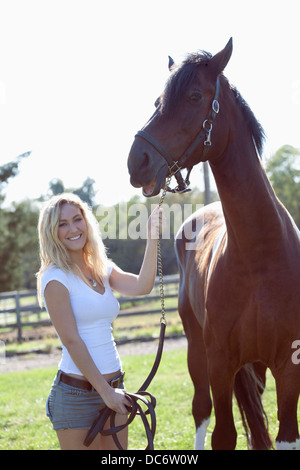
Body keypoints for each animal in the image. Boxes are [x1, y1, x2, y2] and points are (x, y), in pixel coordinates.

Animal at [127, 38, 300, 450]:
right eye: (158, 101)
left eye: (193, 96)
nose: (137, 161)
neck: (259, 257)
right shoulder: (220, 362)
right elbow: (223, 434)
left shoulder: (290, 368)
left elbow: (286, 434)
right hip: (196, 351)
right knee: (201, 412)